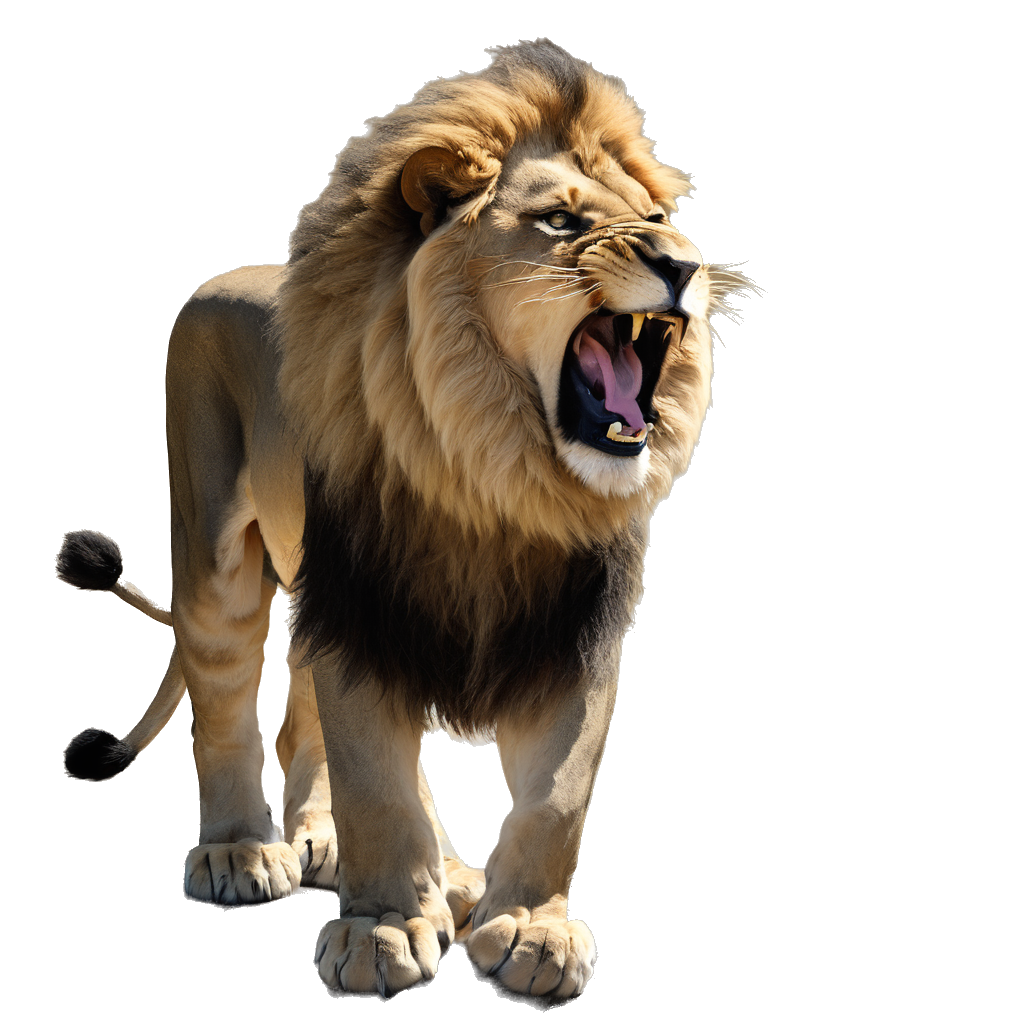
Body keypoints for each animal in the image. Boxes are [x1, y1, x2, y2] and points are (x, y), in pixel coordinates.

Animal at [58, 40, 750, 1001]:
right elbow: (382, 786)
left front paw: (531, 929)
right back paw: (241, 853)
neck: (499, 475)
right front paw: (382, 929)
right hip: (216, 553)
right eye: (562, 221)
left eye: (656, 216)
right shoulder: (367, 615)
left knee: (296, 725)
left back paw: (353, 849)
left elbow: (557, 797)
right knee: (223, 706)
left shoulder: (574, 631)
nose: (687, 264)